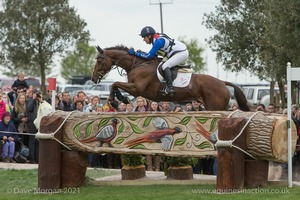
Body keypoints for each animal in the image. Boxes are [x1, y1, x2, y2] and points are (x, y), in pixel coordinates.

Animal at [92, 44, 251, 111]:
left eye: (99, 60)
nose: (93, 79)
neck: (138, 64)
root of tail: (222, 83)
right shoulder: (135, 88)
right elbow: (115, 85)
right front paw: (120, 100)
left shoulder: (137, 89)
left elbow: (115, 84)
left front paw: (116, 101)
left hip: (215, 107)